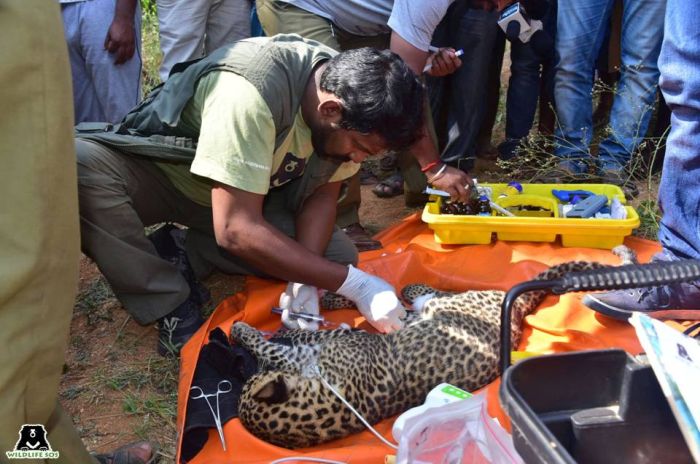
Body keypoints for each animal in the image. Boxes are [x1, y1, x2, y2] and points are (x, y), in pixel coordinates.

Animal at [230, 248, 636, 448]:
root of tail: (517, 308)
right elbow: (300, 342)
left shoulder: (346, 348)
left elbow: (288, 346)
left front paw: (244, 329)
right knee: (412, 295)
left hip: (452, 301)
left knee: (418, 291)